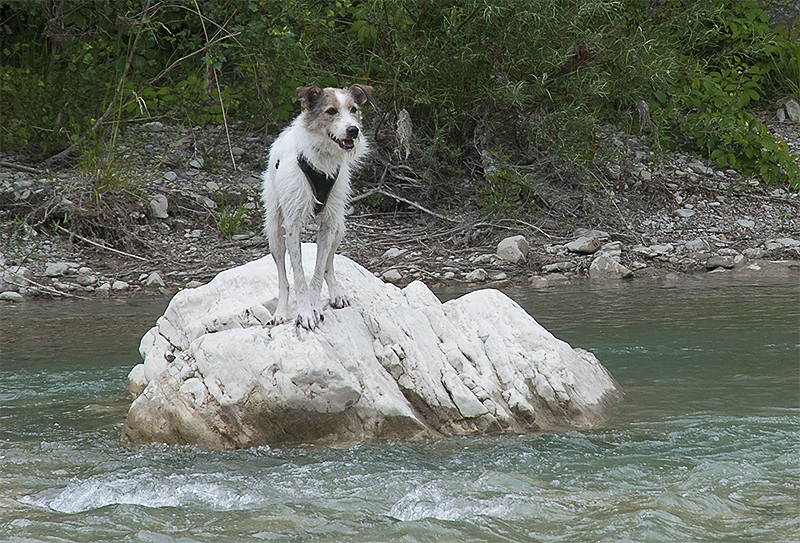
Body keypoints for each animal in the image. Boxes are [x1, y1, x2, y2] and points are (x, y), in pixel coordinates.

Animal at [262, 83, 376, 330]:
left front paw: (314, 307)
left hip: (339, 227)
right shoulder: (292, 225)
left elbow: (318, 270)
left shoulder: (329, 224)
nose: (353, 130)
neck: (322, 160)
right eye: (331, 111)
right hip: (275, 232)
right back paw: (280, 312)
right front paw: (304, 312)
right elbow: (298, 276)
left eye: (353, 109)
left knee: (328, 265)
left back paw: (336, 292)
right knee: (283, 278)